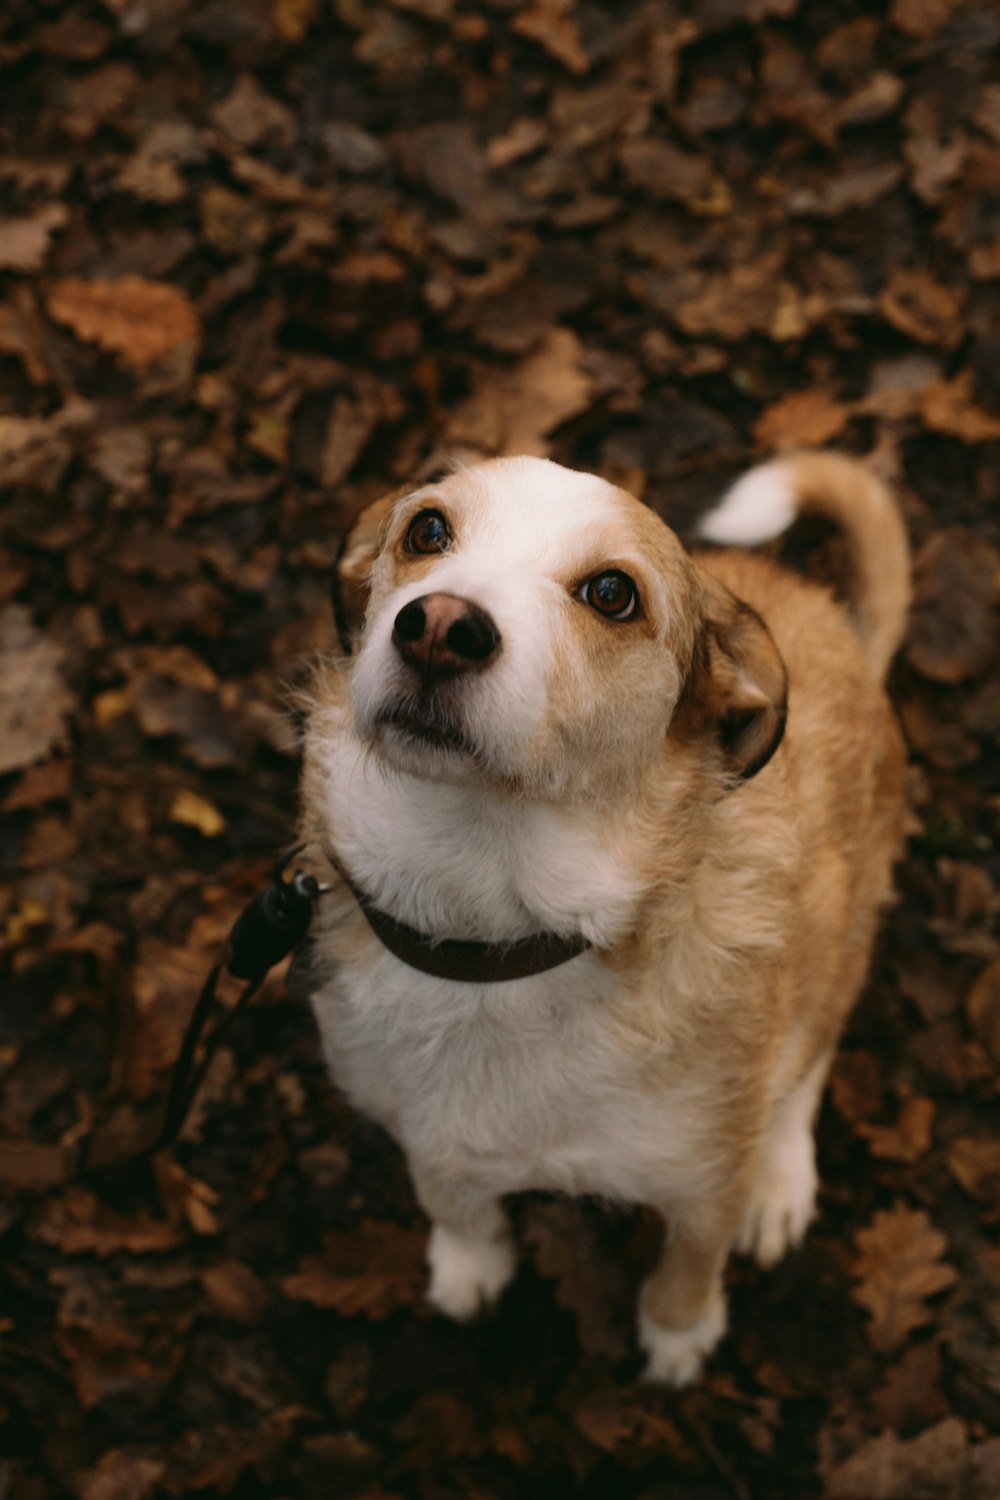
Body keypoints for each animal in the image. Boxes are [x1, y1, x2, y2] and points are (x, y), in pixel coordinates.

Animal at [295, 450, 905, 1386]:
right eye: (427, 530)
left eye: (613, 593)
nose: (437, 626)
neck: (496, 942)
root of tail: (846, 634)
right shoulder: (421, 1127)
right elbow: (453, 1199)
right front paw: (469, 1265)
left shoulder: (704, 1181)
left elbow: (690, 1266)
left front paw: (679, 1341)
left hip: (837, 947)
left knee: (805, 1068)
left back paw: (781, 1181)